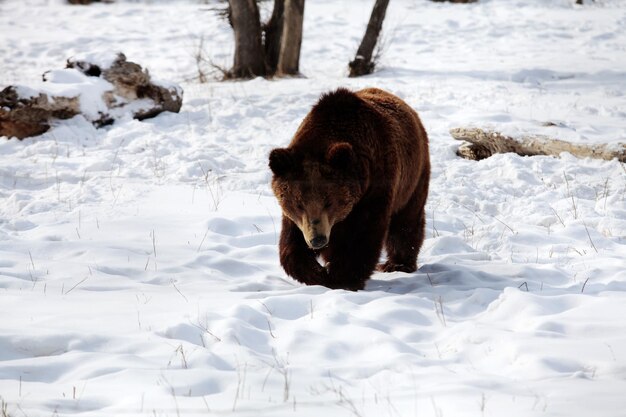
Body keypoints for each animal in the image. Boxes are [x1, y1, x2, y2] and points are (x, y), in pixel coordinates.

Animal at [268, 88, 428, 290]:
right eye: (298, 204)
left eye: (329, 202)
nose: (317, 239)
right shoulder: (297, 217)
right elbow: (292, 243)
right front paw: (317, 273)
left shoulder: (374, 189)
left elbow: (362, 237)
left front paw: (342, 278)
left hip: (413, 179)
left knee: (407, 221)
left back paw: (398, 263)